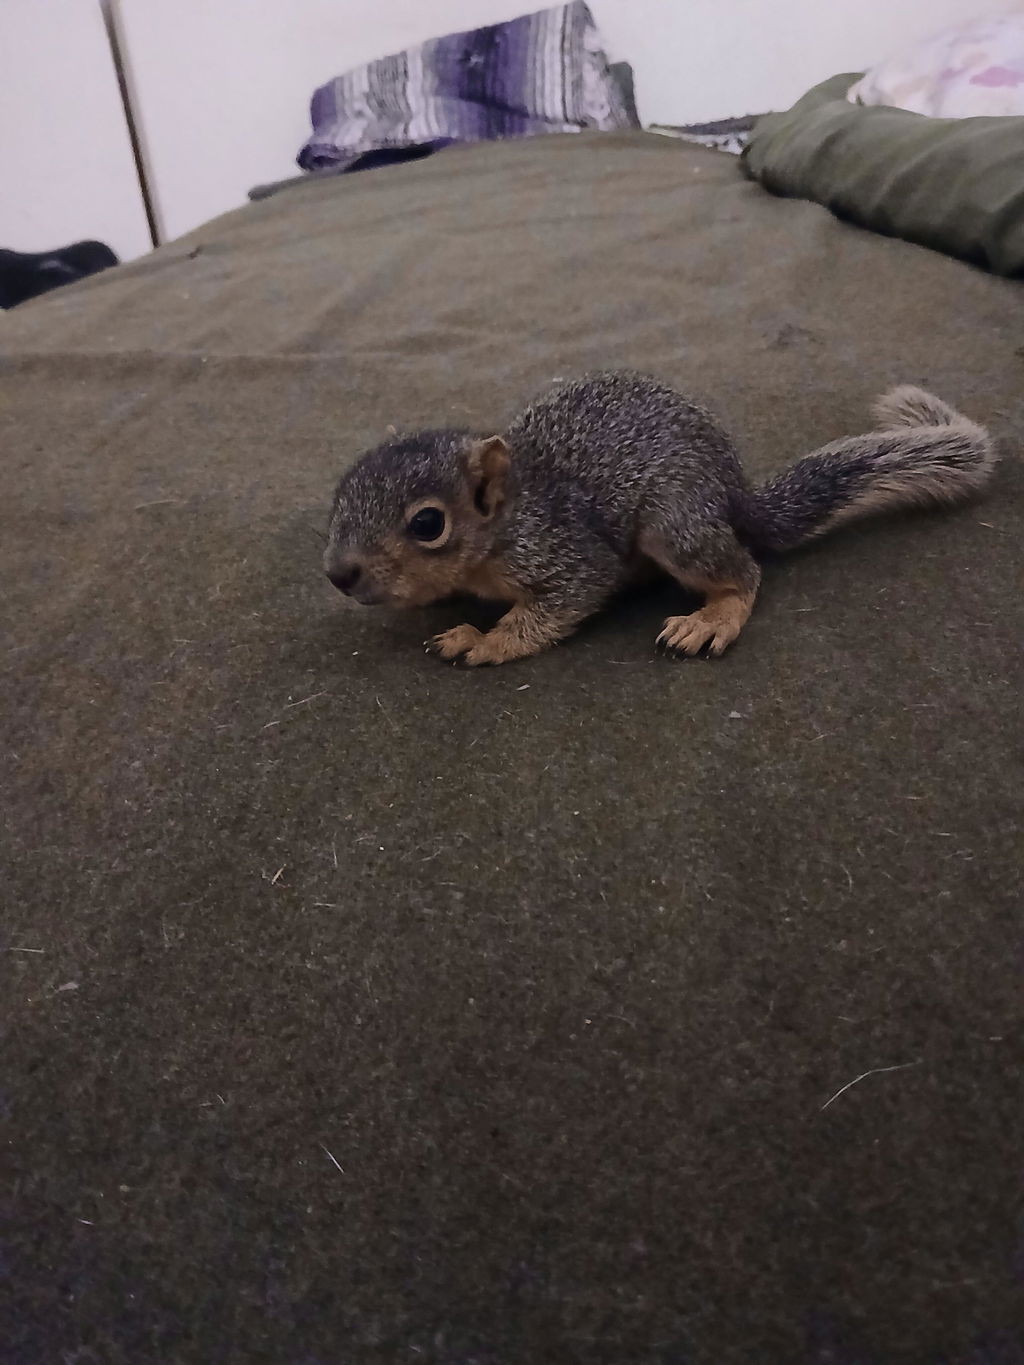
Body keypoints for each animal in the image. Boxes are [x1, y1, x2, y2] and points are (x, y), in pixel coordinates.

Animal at [324, 371, 995, 666]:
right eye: (341, 492)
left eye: (427, 524)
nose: (338, 574)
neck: (508, 519)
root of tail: (734, 497)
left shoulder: (565, 554)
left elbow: (554, 606)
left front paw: (483, 640)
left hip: (674, 524)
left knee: (744, 570)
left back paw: (712, 618)